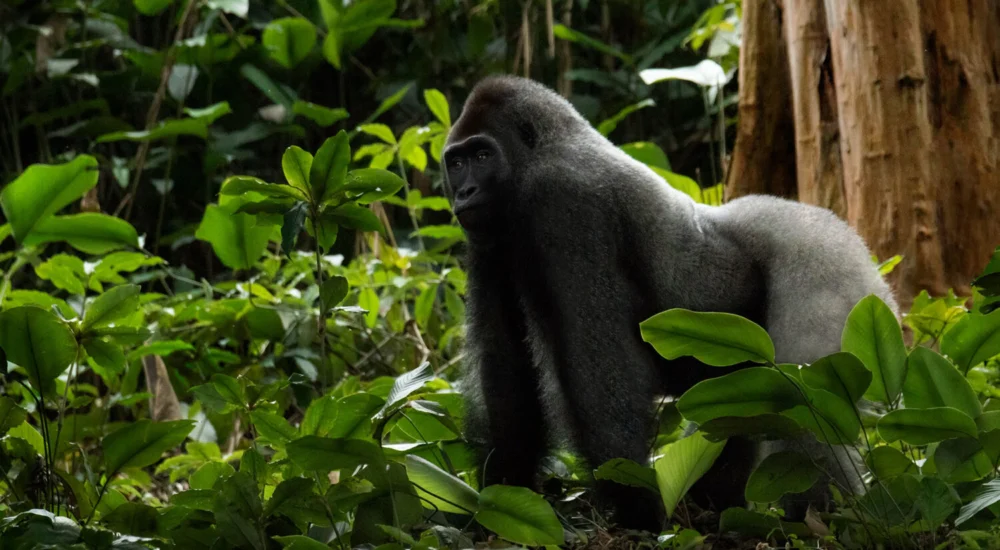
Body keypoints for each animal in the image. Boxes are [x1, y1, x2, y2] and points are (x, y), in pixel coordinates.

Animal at [444, 75, 897, 530]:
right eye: (456, 162)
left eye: (482, 155)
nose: (463, 192)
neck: (544, 149)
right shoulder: (489, 240)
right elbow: (507, 370)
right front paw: (505, 489)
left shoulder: (564, 202)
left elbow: (602, 374)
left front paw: (636, 507)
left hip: (830, 266)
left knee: (802, 409)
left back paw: (826, 519)